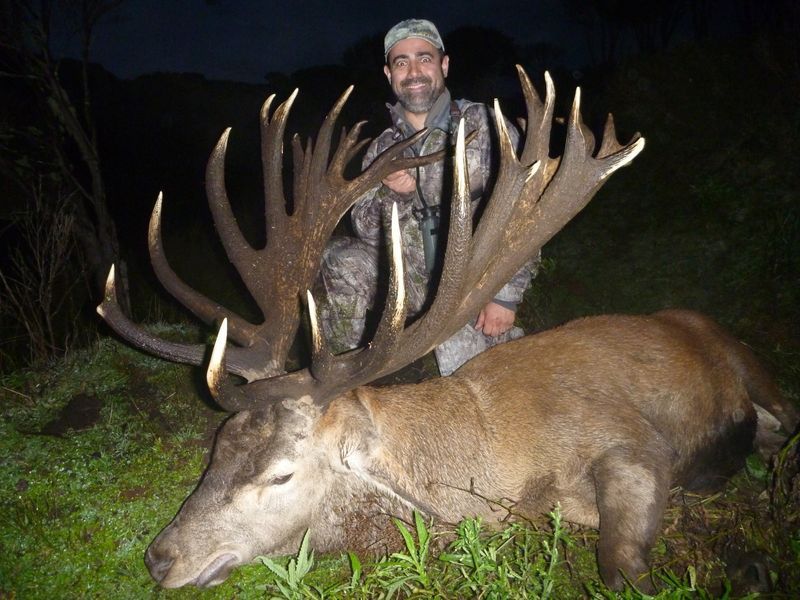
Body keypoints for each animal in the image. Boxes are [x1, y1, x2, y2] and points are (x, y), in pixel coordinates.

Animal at [97, 67, 798, 591]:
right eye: (215, 451)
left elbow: (621, 566)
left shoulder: (631, 441)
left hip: (756, 372)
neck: (493, 472)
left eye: (281, 475)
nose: (160, 557)